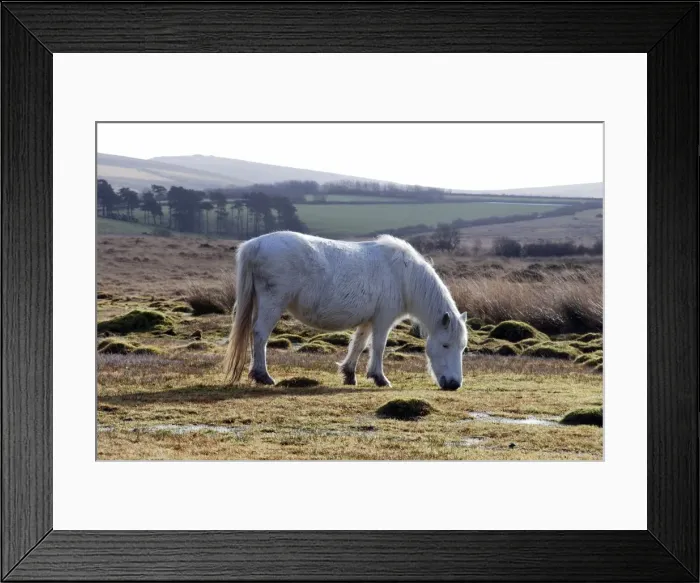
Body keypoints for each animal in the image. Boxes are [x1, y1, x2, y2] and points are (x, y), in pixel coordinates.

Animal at [223, 231, 468, 390]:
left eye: (462, 348)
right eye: (445, 345)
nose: (454, 384)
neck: (403, 275)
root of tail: (254, 244)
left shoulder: (368, 320)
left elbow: (358, 344)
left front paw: (349, 374)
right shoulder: (383, 320)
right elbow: (378, 346)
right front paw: (380, 378)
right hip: (272, 304)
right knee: (260, 335)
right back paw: (263, 376)